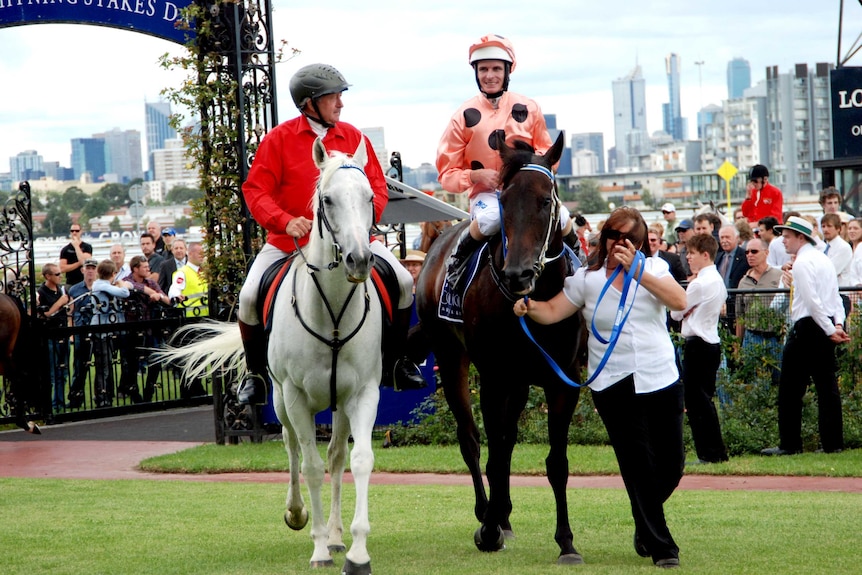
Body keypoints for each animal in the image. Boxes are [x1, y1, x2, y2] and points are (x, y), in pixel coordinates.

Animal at [161, 137, 382, 572]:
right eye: (327, 199)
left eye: (369, 197)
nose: (359, 260)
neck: (332, 309)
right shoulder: (295, 397)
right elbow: (309, 466)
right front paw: (317, 547)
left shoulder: (363, 394)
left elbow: (359, 460)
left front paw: (357, 551)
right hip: (281, 400)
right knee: (293, 449)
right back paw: (300, 515)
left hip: (339, 405)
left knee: (335, 456)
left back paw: (335, 535)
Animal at [416, 133, 584, 564]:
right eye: (503, 200)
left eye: (545, 199)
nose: (517, 274)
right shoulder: (492, 377)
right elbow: (491, 455)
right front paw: (488, 530)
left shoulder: (563, 380)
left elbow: (556, 462)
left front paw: (566, 541)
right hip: (452, 359)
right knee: (473, 439)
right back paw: (488, 514)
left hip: (519, 382)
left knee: (506, 440)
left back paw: (503, 515)